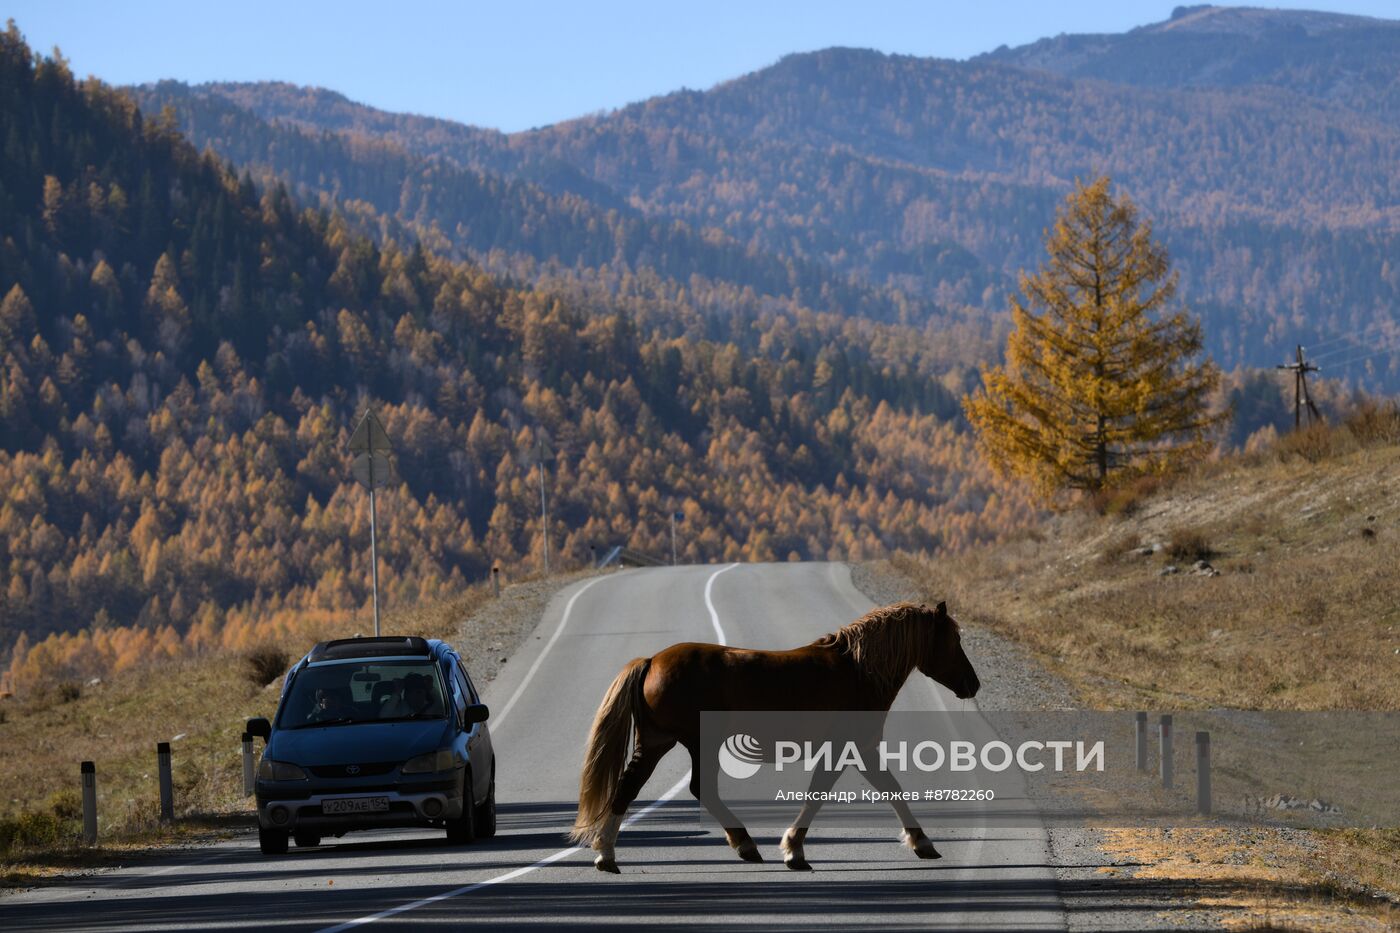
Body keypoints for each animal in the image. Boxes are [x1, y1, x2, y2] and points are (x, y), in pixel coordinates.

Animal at [568, 599, 974, 868]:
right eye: (953, 640)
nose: (974, 683)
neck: (857, 670)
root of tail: (652, 660)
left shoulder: (852, 750)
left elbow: (871, 789)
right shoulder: (852, 747)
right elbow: (856, 791)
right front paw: (794, 849)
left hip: (656, 742)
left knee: (629, 787)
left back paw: (606, 854)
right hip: (698, 742)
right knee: (699, 789)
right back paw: (744, 844)